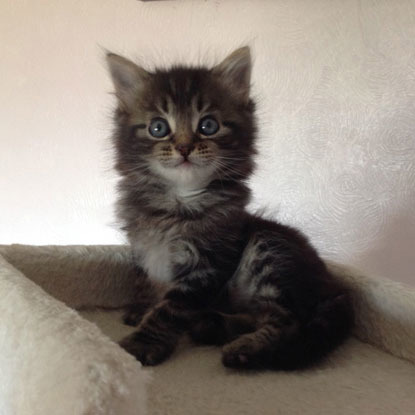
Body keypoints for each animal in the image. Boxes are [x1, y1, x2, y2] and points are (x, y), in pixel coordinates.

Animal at [106, 46, 354, 370]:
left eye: (208, 126)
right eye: (158, 128)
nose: (184, 147)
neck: (176, 204)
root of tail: (334, 287)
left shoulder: (206, 264)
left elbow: (170, 309)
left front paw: (143, 343)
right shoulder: (141, 248)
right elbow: (144, 280)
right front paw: (141, 307)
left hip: (270, 249)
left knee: (286, 320)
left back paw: (245, 350)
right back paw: (211, 326)